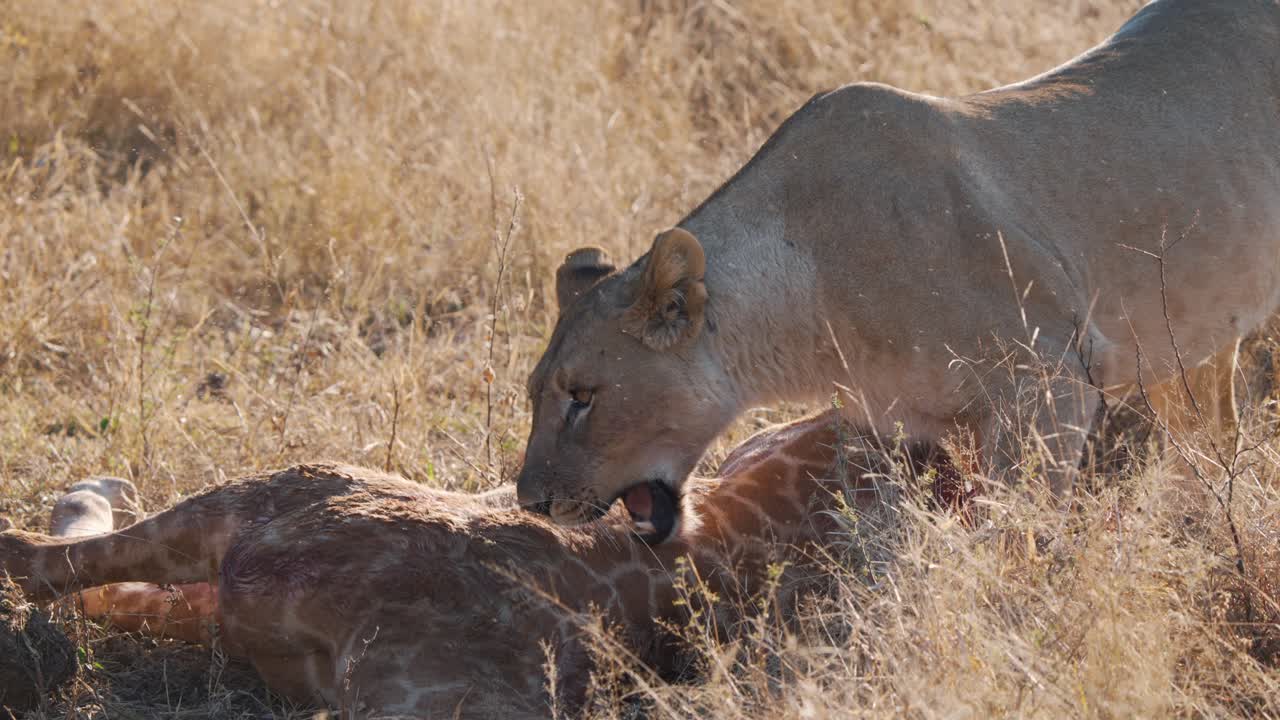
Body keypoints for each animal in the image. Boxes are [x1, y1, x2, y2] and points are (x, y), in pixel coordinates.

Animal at [516, 0, 1280, 542]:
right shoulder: (946, 425)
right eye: (534, 394)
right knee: (1212, 432)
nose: (532, 502)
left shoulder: (1049, 386)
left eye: (583, 396)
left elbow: (1019, 534)